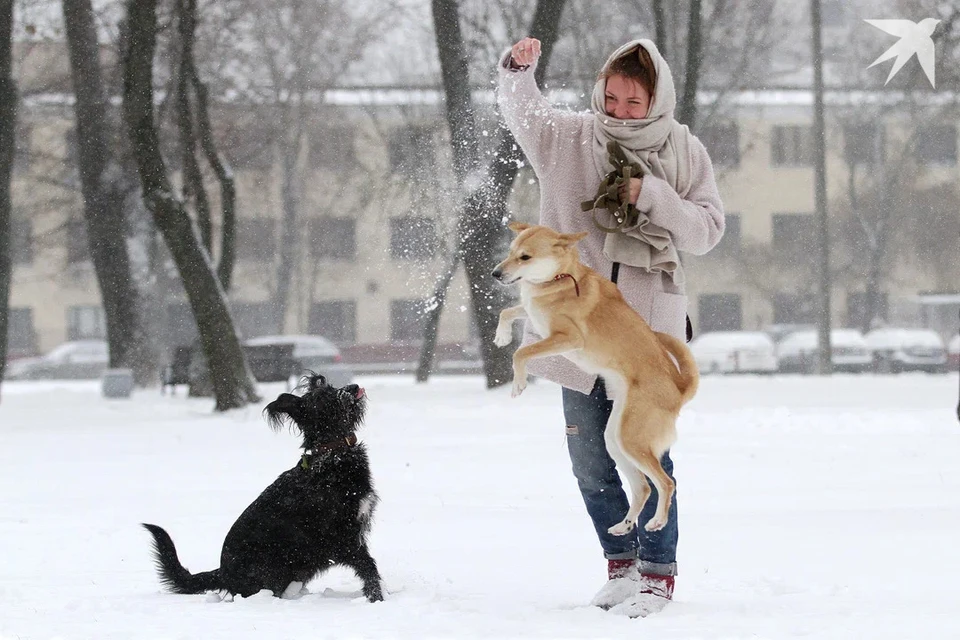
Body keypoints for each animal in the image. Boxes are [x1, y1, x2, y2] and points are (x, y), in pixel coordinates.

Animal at [142, 372, 382, 604]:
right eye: (322, 398)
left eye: (331, 388)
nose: (353, 387)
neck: (331, 453)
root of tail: (223, 573)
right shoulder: (341, 536)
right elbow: (367, 565)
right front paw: (376, 597)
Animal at [496, 222, 696, 532]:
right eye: (510, 252)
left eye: (525, 257)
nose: (495, 273)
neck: (558, 279)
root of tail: (678, 390)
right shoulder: (533, 315)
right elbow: (508, 312)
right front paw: (502, 336)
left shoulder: (567, 338)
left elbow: (522, 352)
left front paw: (518, 382)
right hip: (615, 439)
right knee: (643, 488)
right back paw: (624, 525)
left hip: (632, 439)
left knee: (666, 483)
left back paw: (657, 521)